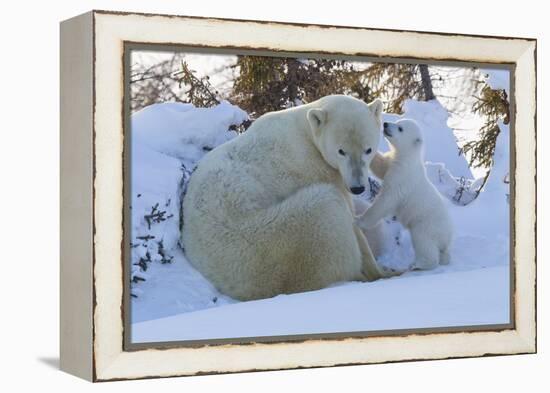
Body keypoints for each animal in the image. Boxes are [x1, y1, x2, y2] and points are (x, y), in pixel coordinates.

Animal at [183, 95, 390, 300]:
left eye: (368, 150)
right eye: (341, 151)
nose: (357, 187)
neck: (305, 131)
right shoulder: (314, 168)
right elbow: (351, 217)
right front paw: (378, 270)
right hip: (277, 236)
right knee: (329, 209)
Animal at [360, 118, 454, 268]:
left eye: (400, 128)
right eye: (397, 122)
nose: (386, 124)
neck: (407, 158)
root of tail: (448, 237)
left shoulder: (402, 177)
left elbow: (386, 200)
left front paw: (359, 220)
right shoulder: (393, 163)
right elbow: (381, 167)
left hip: (426, 225)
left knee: (424, 243)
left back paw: (418, 265)